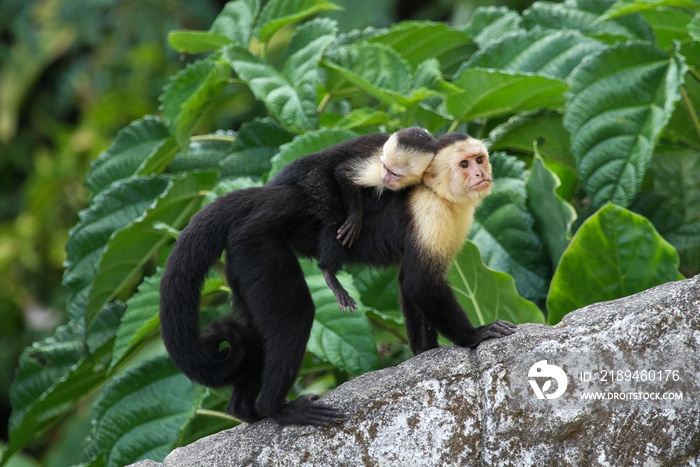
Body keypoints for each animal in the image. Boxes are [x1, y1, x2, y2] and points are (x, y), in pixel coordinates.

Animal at [270, 126, 438, 312]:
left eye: (395, 173)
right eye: (385, 167)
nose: (385, 178)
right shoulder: (376, 165)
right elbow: (343, 173)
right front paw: (355, 217)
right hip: (316, 180)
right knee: (334, 214)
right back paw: (329, 271)